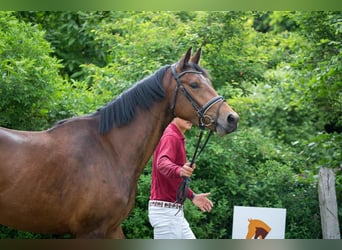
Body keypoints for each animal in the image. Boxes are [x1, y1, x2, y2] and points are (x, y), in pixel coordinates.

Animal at [0, 47, 239, 238]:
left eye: (209, 82)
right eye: (194, 84)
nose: (232, 118)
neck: (109, 149)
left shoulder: (112, 228)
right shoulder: (90, 232)